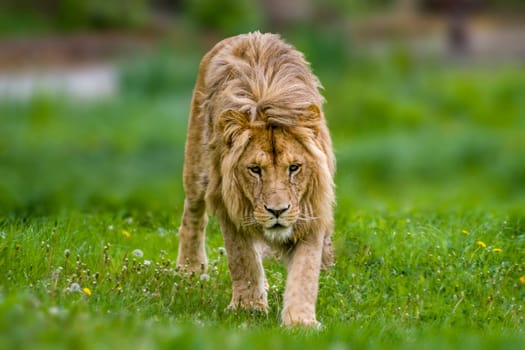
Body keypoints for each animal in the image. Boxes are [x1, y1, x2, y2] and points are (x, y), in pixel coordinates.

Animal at [174, 31, 334, 326]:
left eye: (294, 168)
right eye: (255, 169)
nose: (277, 211)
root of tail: (248, 34)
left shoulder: (310, 208)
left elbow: (305, 272)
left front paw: (301, 322)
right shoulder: (228, 204)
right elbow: (243, 259)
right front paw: (248, 308)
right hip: (198, 167)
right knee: (193, 212)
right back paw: (190, 268)